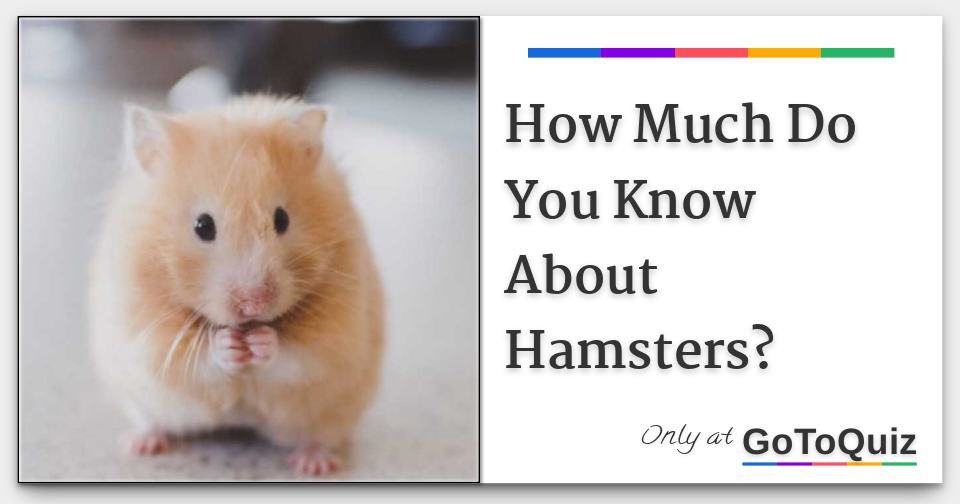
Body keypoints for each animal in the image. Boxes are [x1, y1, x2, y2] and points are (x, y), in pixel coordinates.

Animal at [88, 95, 383, 476]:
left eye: (282, 219)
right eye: (203, 226)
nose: (253, 305)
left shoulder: (337, 331)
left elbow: (298, 355)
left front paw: (260, 342)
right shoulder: (145, 330)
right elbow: (192, 357)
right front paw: (229, 345)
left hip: (335, 412)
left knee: (318, 436)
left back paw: (313, 465)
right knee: (152, 421)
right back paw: (140, 444)